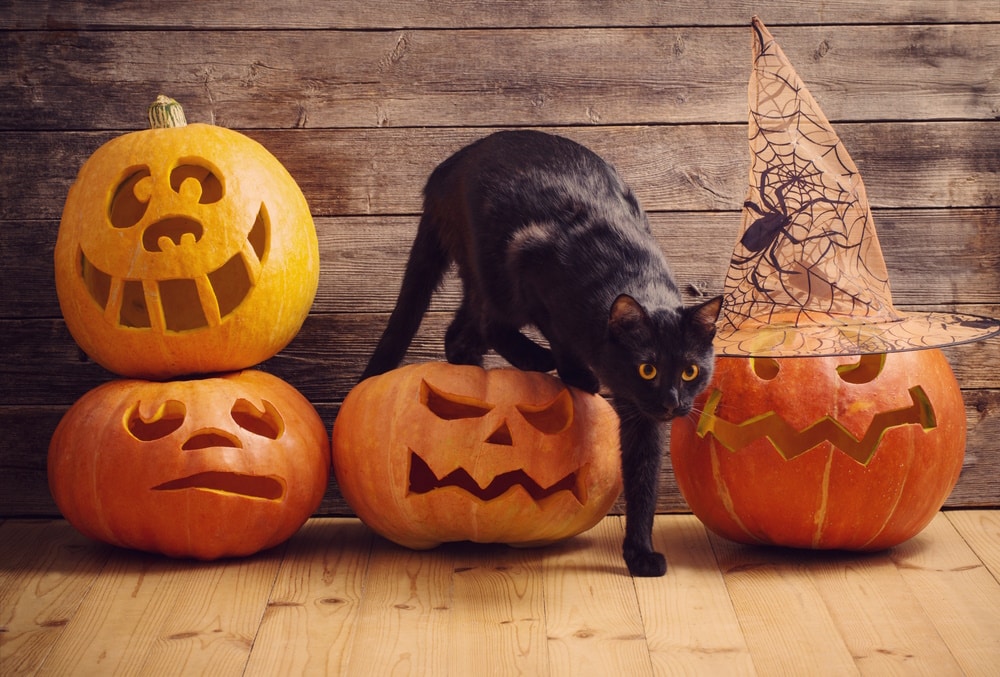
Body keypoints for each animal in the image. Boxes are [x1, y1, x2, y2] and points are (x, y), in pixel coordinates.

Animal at [360, 131, 720, 576]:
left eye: (690, 372)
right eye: (648, 369)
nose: (672, 402)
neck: (634, 279)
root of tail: (445, 169)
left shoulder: (642, 415)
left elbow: (643, 477)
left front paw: (639, 552)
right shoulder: (532, 263)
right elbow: (559, 334)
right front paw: (576, 373)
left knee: (460, 333)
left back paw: (473, 370)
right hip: (497, 273)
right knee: (483, 324)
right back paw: (532, 361)